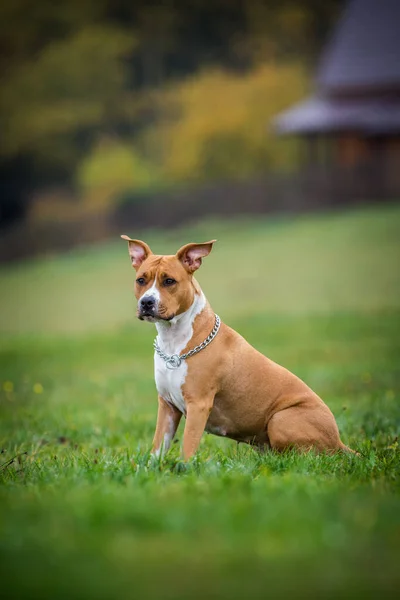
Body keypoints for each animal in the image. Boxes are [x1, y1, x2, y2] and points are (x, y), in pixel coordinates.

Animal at [120, 236, 352, 460]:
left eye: (169, 281)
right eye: (141, 280)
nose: (147, 302)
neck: (174, 341)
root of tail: (339, 441)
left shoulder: (198, 405)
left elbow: (187, 447)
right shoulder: (167, 406)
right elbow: (158, 448)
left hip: (280, 418)